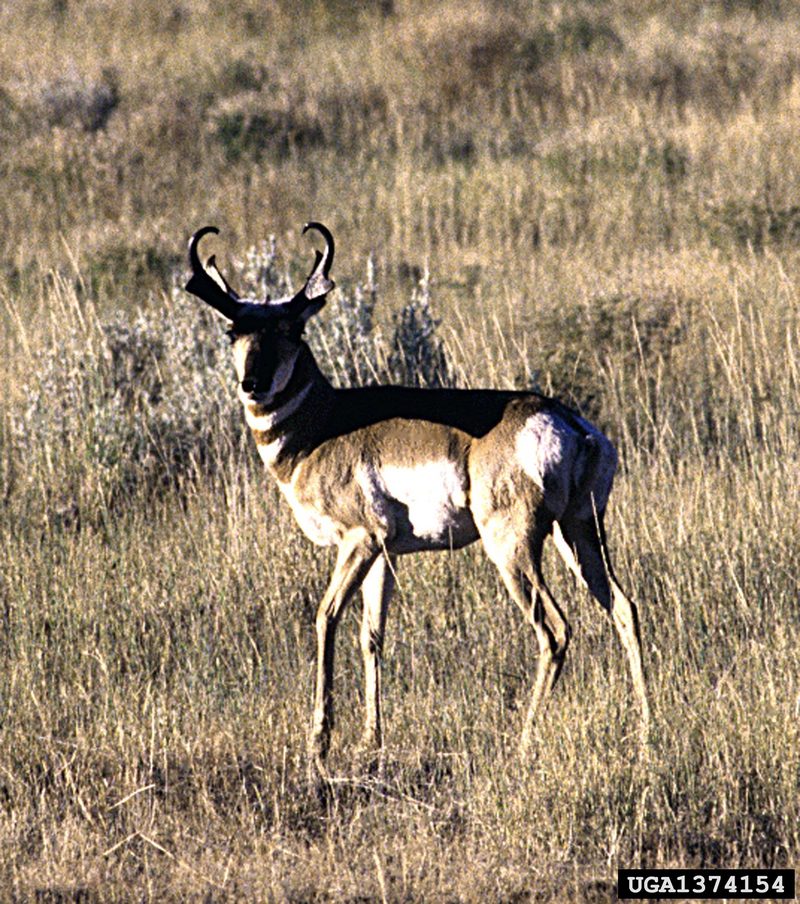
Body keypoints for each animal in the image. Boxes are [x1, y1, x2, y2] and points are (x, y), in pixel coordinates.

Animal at [186, 222, 648, 760]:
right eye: (233, 331)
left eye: (292, 330)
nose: (253, 384)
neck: (324, 423)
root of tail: (569, 423)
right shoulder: (383, 556)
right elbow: (371, 635)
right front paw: (370, 738)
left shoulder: (358, 541)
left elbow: (325, 617)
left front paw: (319, 740)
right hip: (577, 533)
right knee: (624, 609)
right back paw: (647, 730)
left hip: (512, 546)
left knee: (554, 631)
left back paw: (523, 740)